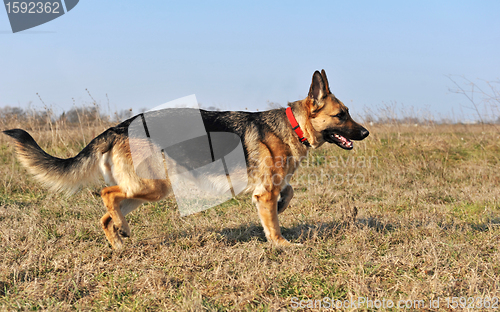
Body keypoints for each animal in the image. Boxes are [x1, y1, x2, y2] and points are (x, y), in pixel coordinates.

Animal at [2, 70, 368, 249]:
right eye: (341, 115)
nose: (365, 132)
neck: (292, 125)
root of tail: (118, 126)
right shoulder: (264, 190)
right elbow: (274, 222)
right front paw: (281, 245)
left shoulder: (270, 187)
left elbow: (287, 194)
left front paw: (282, 209)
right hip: (153, 187)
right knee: (106, 196)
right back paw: (122, 230)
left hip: (142, 192)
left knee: (107, 214)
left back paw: (119, 242)